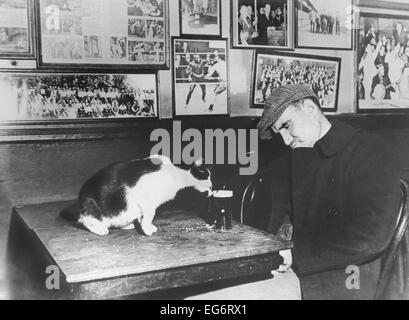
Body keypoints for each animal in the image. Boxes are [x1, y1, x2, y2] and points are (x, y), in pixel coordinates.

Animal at [62, 156, 214, 236]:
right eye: (207, 176)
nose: (212, 188)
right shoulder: (145, 197)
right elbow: (150, 214)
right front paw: (147, 229)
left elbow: (144, 216)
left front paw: (143, 225)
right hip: (92, 207)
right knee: (85, 220)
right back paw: (100, 229)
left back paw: (127, 225)